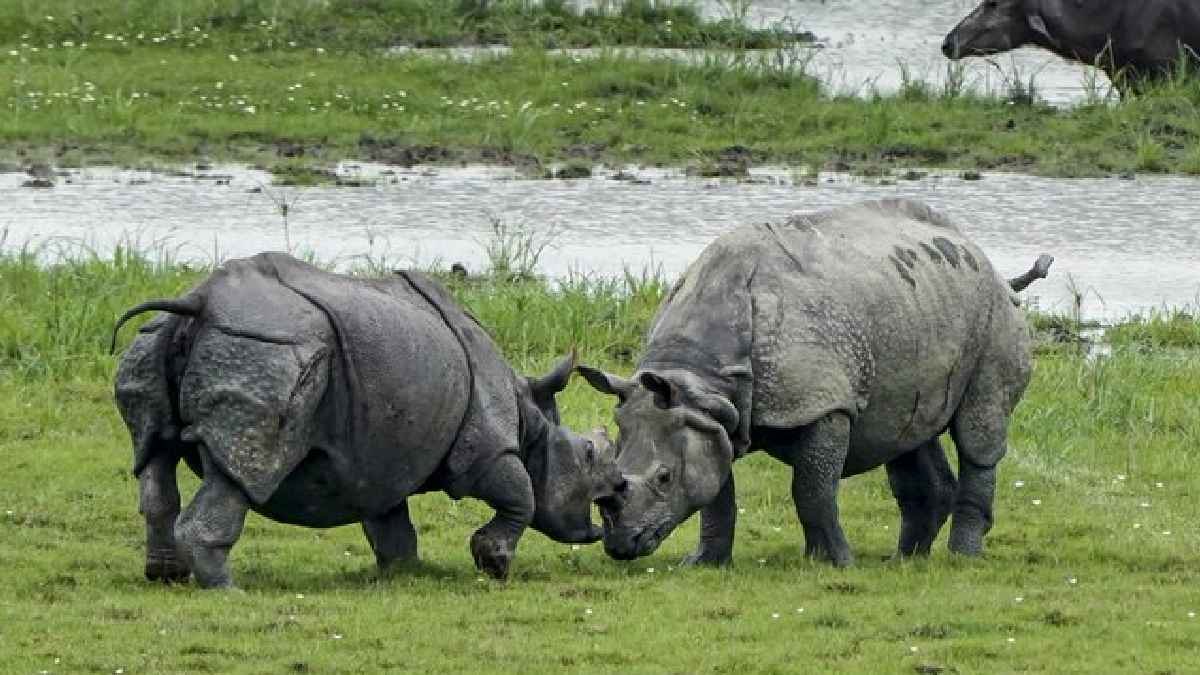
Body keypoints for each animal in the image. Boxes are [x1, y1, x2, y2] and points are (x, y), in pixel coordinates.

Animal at [112, 252, 615, 589]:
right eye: (589, 453)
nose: (619, 487)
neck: (533, 419)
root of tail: (199, 301)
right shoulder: (486, 447)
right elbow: (520, 495)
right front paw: (494, 565)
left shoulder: (381, 458)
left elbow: (390, 523)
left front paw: (407, 572)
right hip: (267, 349)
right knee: (244, 470)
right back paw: (227, 590)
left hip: (159, 342)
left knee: (154, 455)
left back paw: (166, 575)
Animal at [579, 199, 1052, 566]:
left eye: (663, 478)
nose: (620, 546)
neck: (700, 377)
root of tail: (984, 257)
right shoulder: (709, 417)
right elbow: (716, 494)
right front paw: (703, 564)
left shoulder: (822, 403)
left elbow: (812, 488)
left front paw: (833, 563)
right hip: (919, 302)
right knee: (908, 433)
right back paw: (905, 562)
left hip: (994, 315)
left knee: (978, 431)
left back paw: (960, 558)